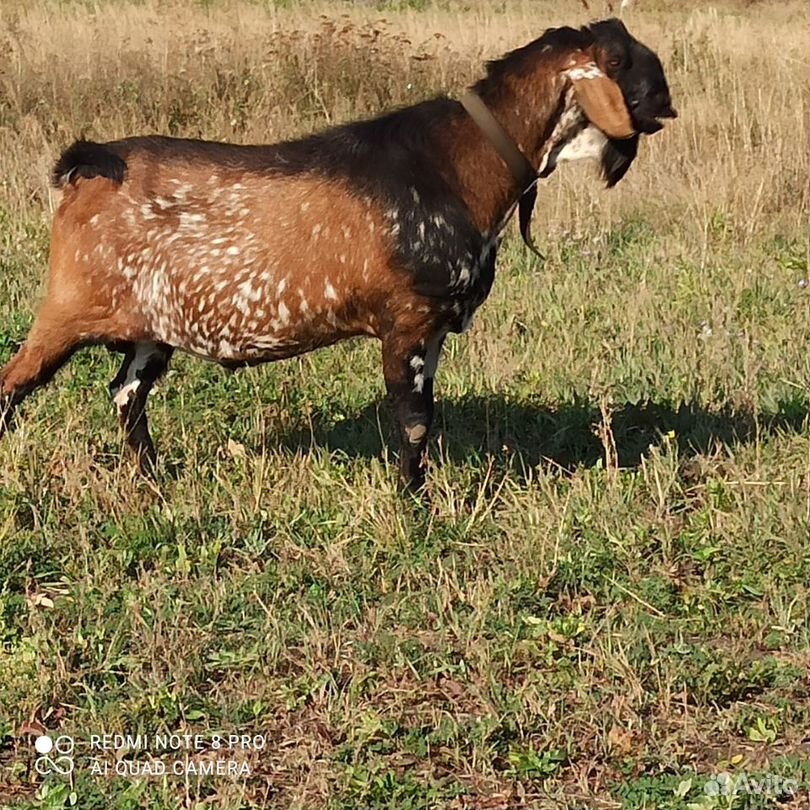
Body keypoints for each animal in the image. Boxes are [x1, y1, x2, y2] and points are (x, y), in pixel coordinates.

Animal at [0, 17, 676, 486]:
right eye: (619, 60)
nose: (667, 104)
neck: (459, 164)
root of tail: (85, 167)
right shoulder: (406, 320)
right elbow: (413, 419)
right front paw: (412, 504)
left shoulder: (434, 330)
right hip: (67, 309)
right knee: (14, 385)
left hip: (150, 330)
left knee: (125, 394)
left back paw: (153, 478)